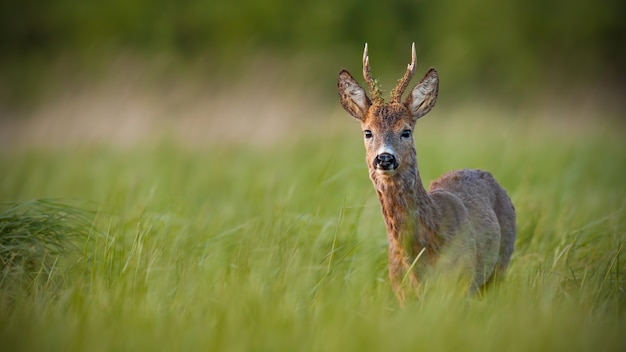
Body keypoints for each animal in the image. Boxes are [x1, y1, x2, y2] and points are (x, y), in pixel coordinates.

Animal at [338, 42, 516, 302]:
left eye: (406, 131)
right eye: (368, 132)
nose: (384, 158)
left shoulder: (461, 282)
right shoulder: (401, 290)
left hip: (501, 262)